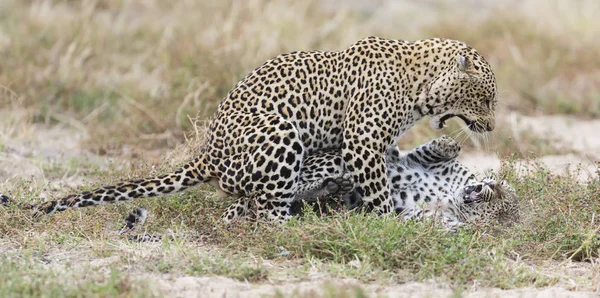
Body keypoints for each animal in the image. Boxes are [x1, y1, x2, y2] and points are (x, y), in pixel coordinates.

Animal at [0, 36, 500, 222]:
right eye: (488, 99)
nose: (493, 126)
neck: (420, 85)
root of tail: (207, 156)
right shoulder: (361, 142)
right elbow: (377, 191)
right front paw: (388, 223)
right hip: (281, 133)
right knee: (265, 213)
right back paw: (298, 228)